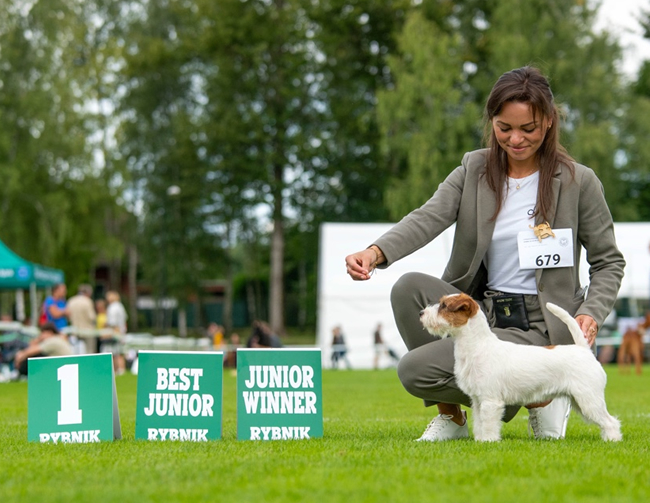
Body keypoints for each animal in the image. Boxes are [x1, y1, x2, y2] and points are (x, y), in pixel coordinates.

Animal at [418, 294, 620, 442]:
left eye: (444, 306)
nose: (421, 313)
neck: (477, 345)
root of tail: (583, 349)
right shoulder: (477, 401)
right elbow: (479, 423)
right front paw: (480, 440)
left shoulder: (491, 401)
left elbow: (489, 424)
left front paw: (488, 441)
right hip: (580, 400)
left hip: (588, 400)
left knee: (610, 421)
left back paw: (612, 440)